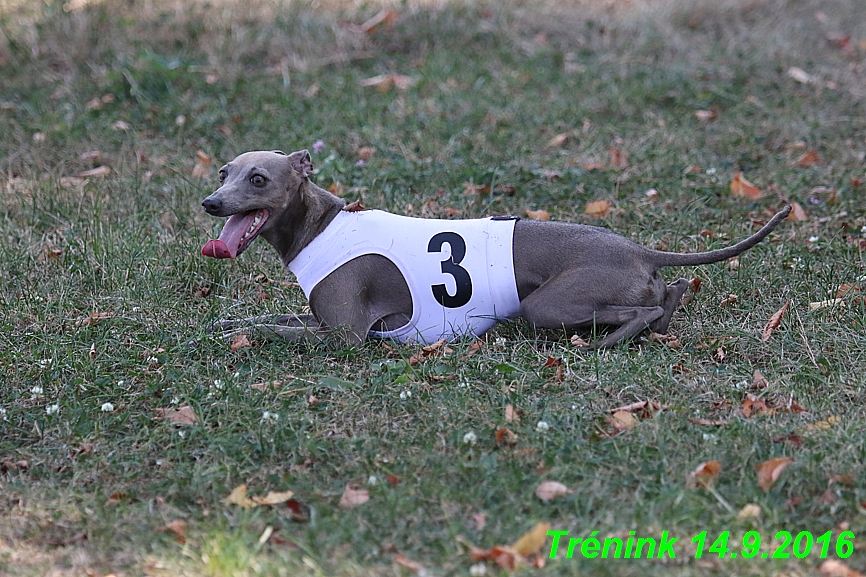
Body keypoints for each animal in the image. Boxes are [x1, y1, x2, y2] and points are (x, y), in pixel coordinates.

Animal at [202, 148, 788, 346]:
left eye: (258, 178)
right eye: (225, 172)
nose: (211, 203)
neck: (322, 224)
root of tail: (642, 251)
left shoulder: (346, 335)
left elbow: (280, 331)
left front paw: (240, 336)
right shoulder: (320, 319)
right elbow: (268, 319)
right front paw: (231, 324)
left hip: (548, 304)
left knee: (640, 312)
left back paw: (606, 341)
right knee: (669, 299)